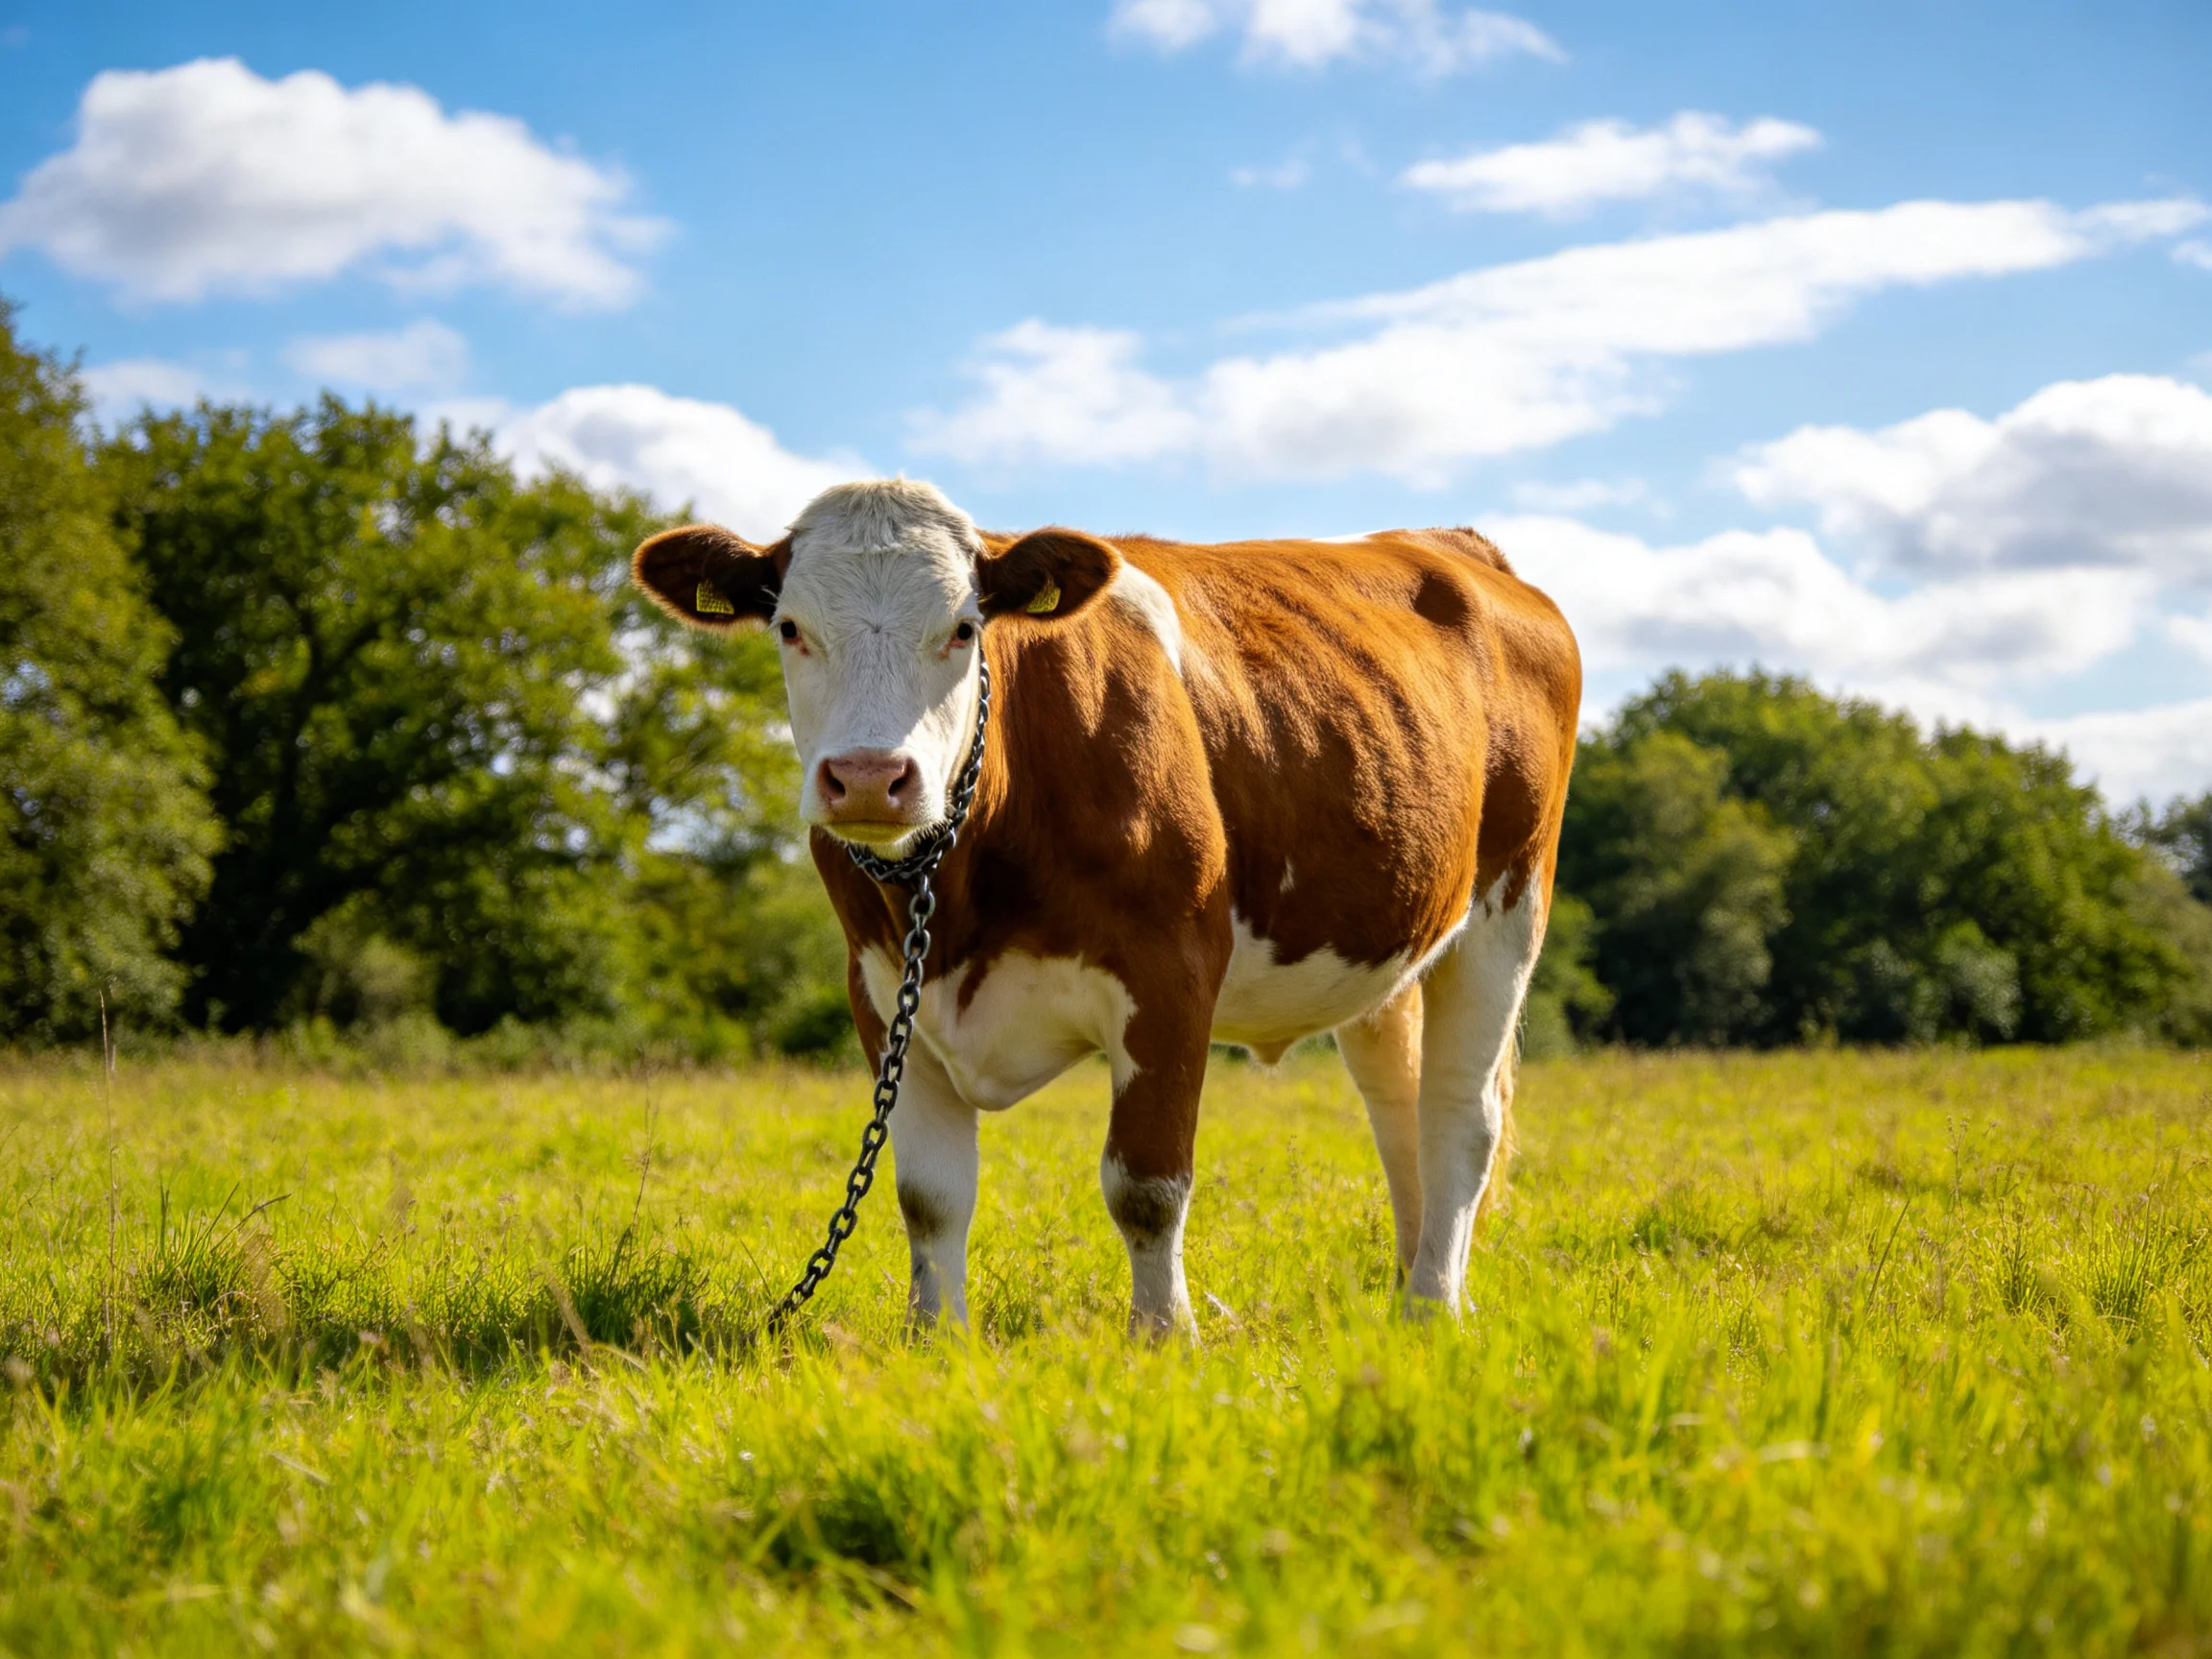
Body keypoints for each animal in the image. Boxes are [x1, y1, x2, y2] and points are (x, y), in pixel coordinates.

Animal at [632, 479, 1580, 1334]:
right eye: (790, 628)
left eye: (964, 629)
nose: (869, 776)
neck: (960, 891)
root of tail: (1453, 544)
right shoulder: (880, 988)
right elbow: (928, 1195)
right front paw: (936, 1342)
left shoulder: (1171, 970)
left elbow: (1146, 1185)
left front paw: (1162, 1336)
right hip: (1384, 942)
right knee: (1397, 1105)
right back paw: (1416, 1284)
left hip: (1507, 911)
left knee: (1460, 1116)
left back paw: (1432, 1309)